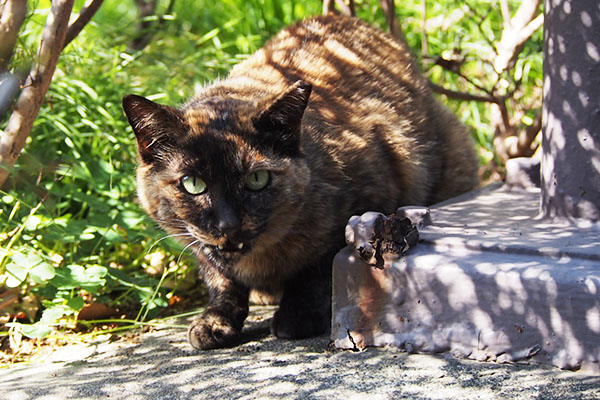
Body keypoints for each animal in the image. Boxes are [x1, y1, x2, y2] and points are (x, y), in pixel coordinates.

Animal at [122, 14, 478, 348]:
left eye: (257, 179)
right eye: (192, 184)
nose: (227, 224)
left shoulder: (368, 194)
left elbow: (317, 270)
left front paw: (298, 316)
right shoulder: (197, 242)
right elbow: (220, 278)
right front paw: (214, 321)